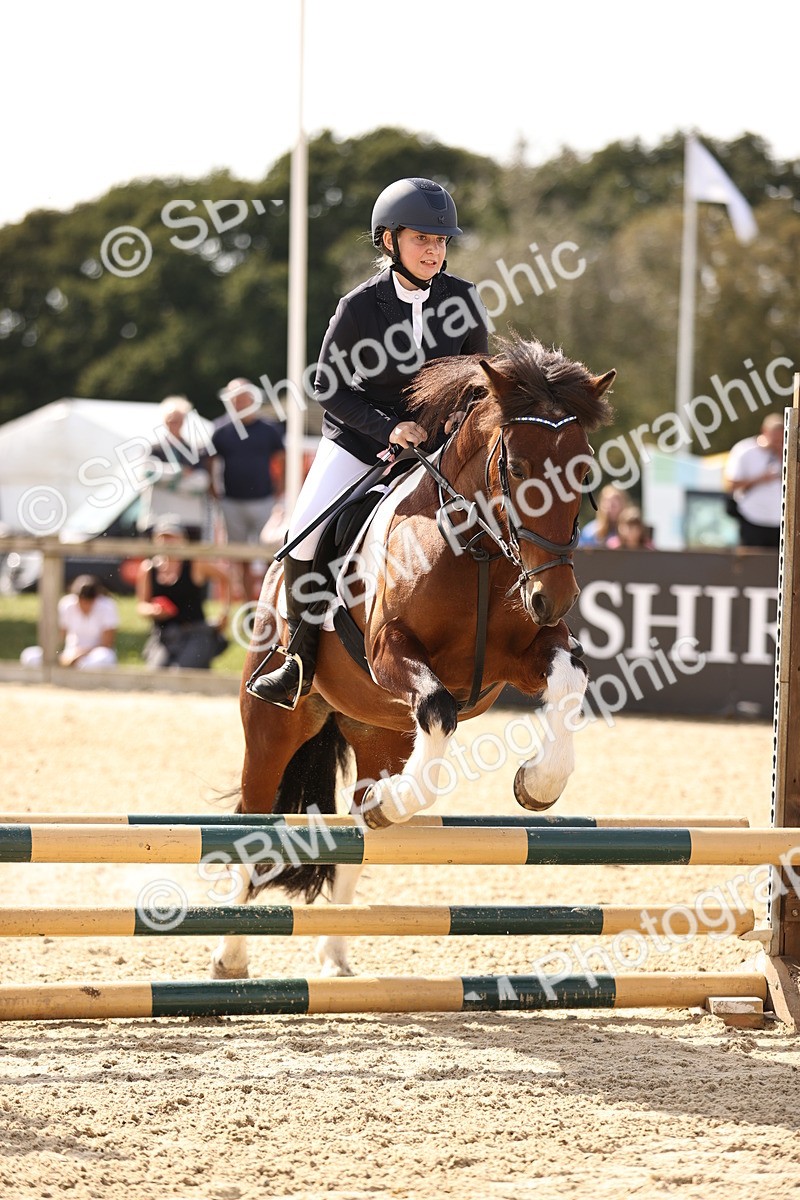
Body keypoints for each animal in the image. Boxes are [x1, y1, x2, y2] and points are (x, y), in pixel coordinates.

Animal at [210, 335, 614, 980]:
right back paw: (230, 954)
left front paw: (538, 785)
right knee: (256, 819)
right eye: (517, 469)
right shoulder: (390, 652)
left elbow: (569, 683)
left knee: (353, 826)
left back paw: (337, 954)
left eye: (582, 469)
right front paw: (396, 803)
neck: (475, 547)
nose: (554, 597)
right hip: (274, 725)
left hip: (378, 732)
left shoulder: (526, 653)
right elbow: (440, 709)